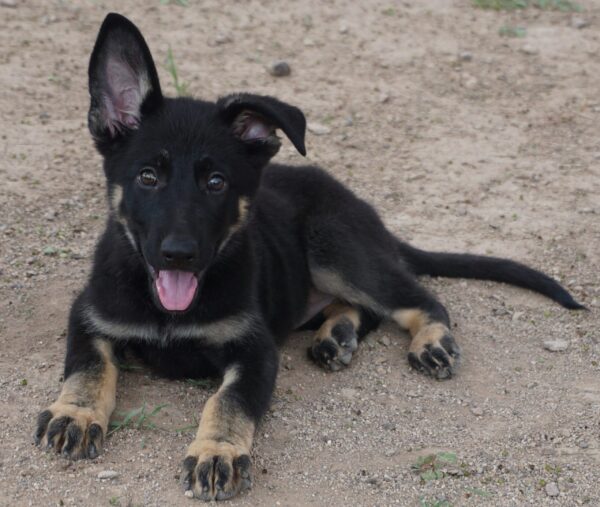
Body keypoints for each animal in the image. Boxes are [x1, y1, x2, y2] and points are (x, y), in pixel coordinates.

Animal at [34, 13, 584, 502]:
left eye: (217, 183)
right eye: (148, 177)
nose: (179, 255)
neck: (168, 311)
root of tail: (359, 206)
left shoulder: (255, 349)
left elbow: (227, 401)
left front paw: (217, 452)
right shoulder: (89, 316)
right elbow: (88, 367)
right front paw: (76, 413)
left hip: (332, 246)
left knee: (418, 299)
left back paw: (428, 340)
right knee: (363, 310)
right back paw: (334, 335)